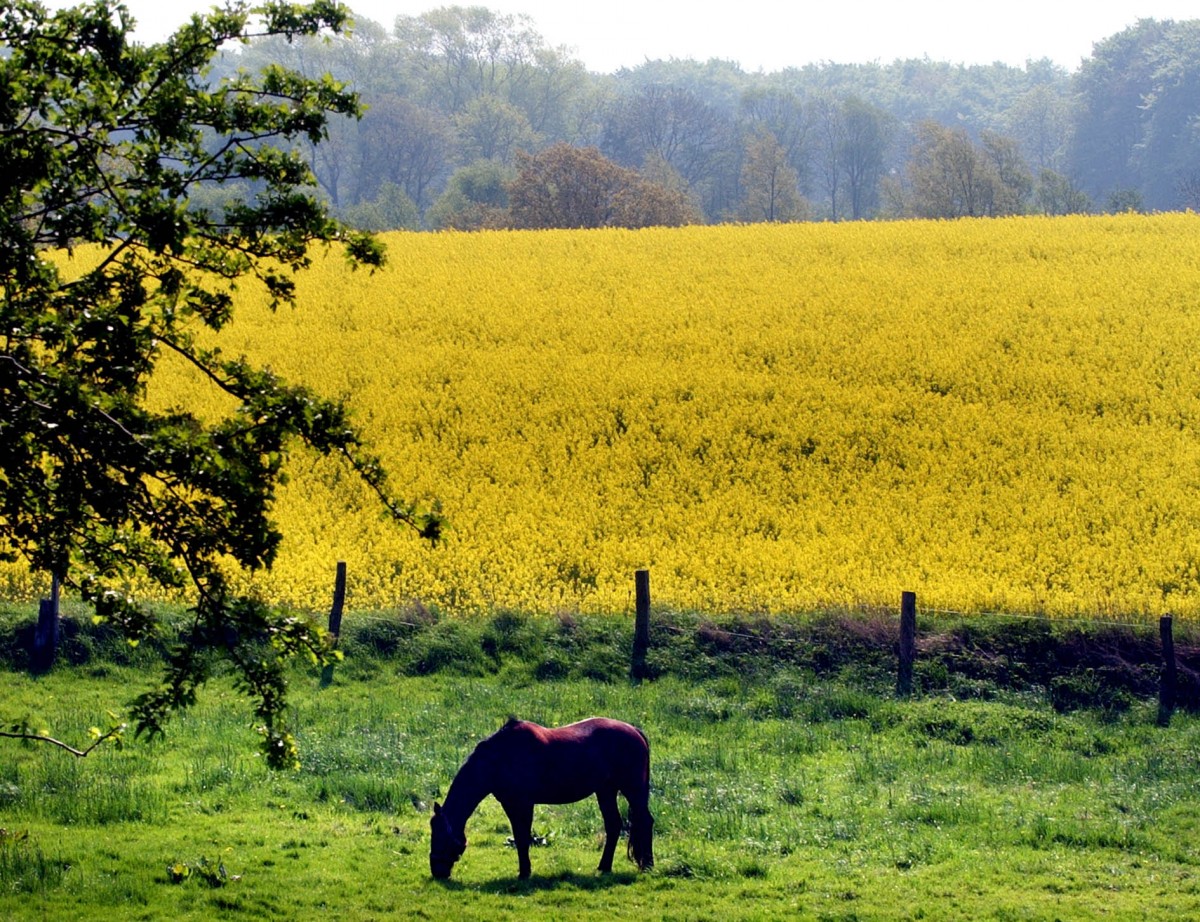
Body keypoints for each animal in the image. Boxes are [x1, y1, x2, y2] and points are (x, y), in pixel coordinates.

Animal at [432, 715, 657, 883]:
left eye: (440, 835)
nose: (436, 871)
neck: (499, 758)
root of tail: (635, 730)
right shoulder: (510, 803)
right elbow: (519, 836)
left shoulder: (523, 803)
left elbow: (523, 838)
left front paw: (524, 873)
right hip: (606, 791)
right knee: (613, 825)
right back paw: (604, 867)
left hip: (632, 790)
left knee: (645, 821)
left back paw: (648, 865)